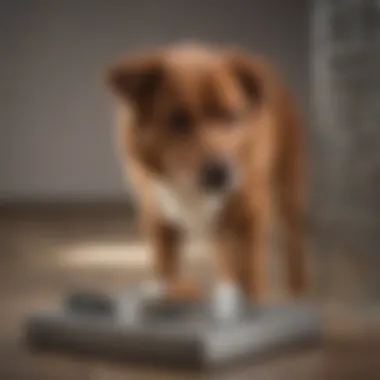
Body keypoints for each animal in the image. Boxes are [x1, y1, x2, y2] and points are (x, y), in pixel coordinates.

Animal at [105, 43, 308, 320]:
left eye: (232, 115)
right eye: (178, 119)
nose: (220, 173)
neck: (191, 190)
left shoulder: (251, 217)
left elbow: (252, 274)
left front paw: (253, 308)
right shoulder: (158, 222)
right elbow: (166, 271)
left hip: (290, 190)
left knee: (293, 238)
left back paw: (297, 288)